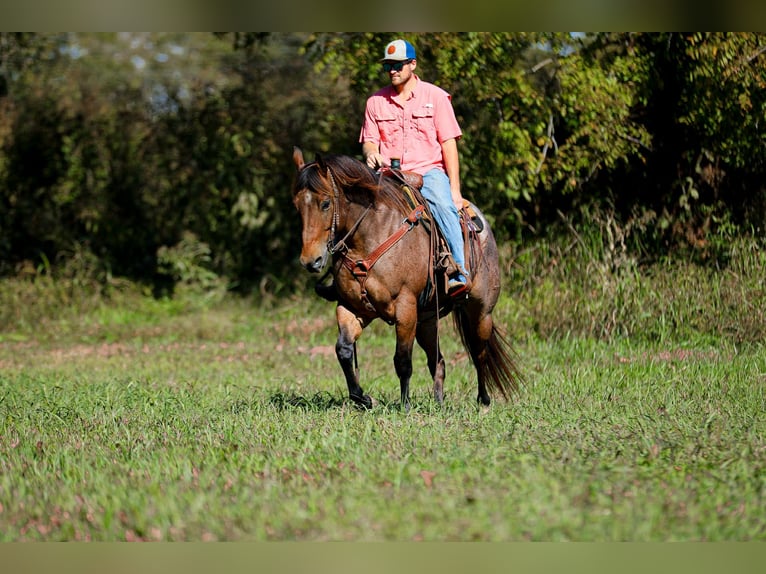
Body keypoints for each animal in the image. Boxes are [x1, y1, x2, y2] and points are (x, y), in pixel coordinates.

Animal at [291, 147, 521, 410]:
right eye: (297, 206)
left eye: (326, 203)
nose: (311, 261)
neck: (371, 236)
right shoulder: (352, 308)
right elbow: (344, 350)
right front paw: (363, 398)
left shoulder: (405, 308)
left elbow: (402, 359)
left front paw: (405, 406)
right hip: (427, 321)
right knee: (438, 361)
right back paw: (439, 403)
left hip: (481, 312)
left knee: (479, 352)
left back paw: (483, 400)